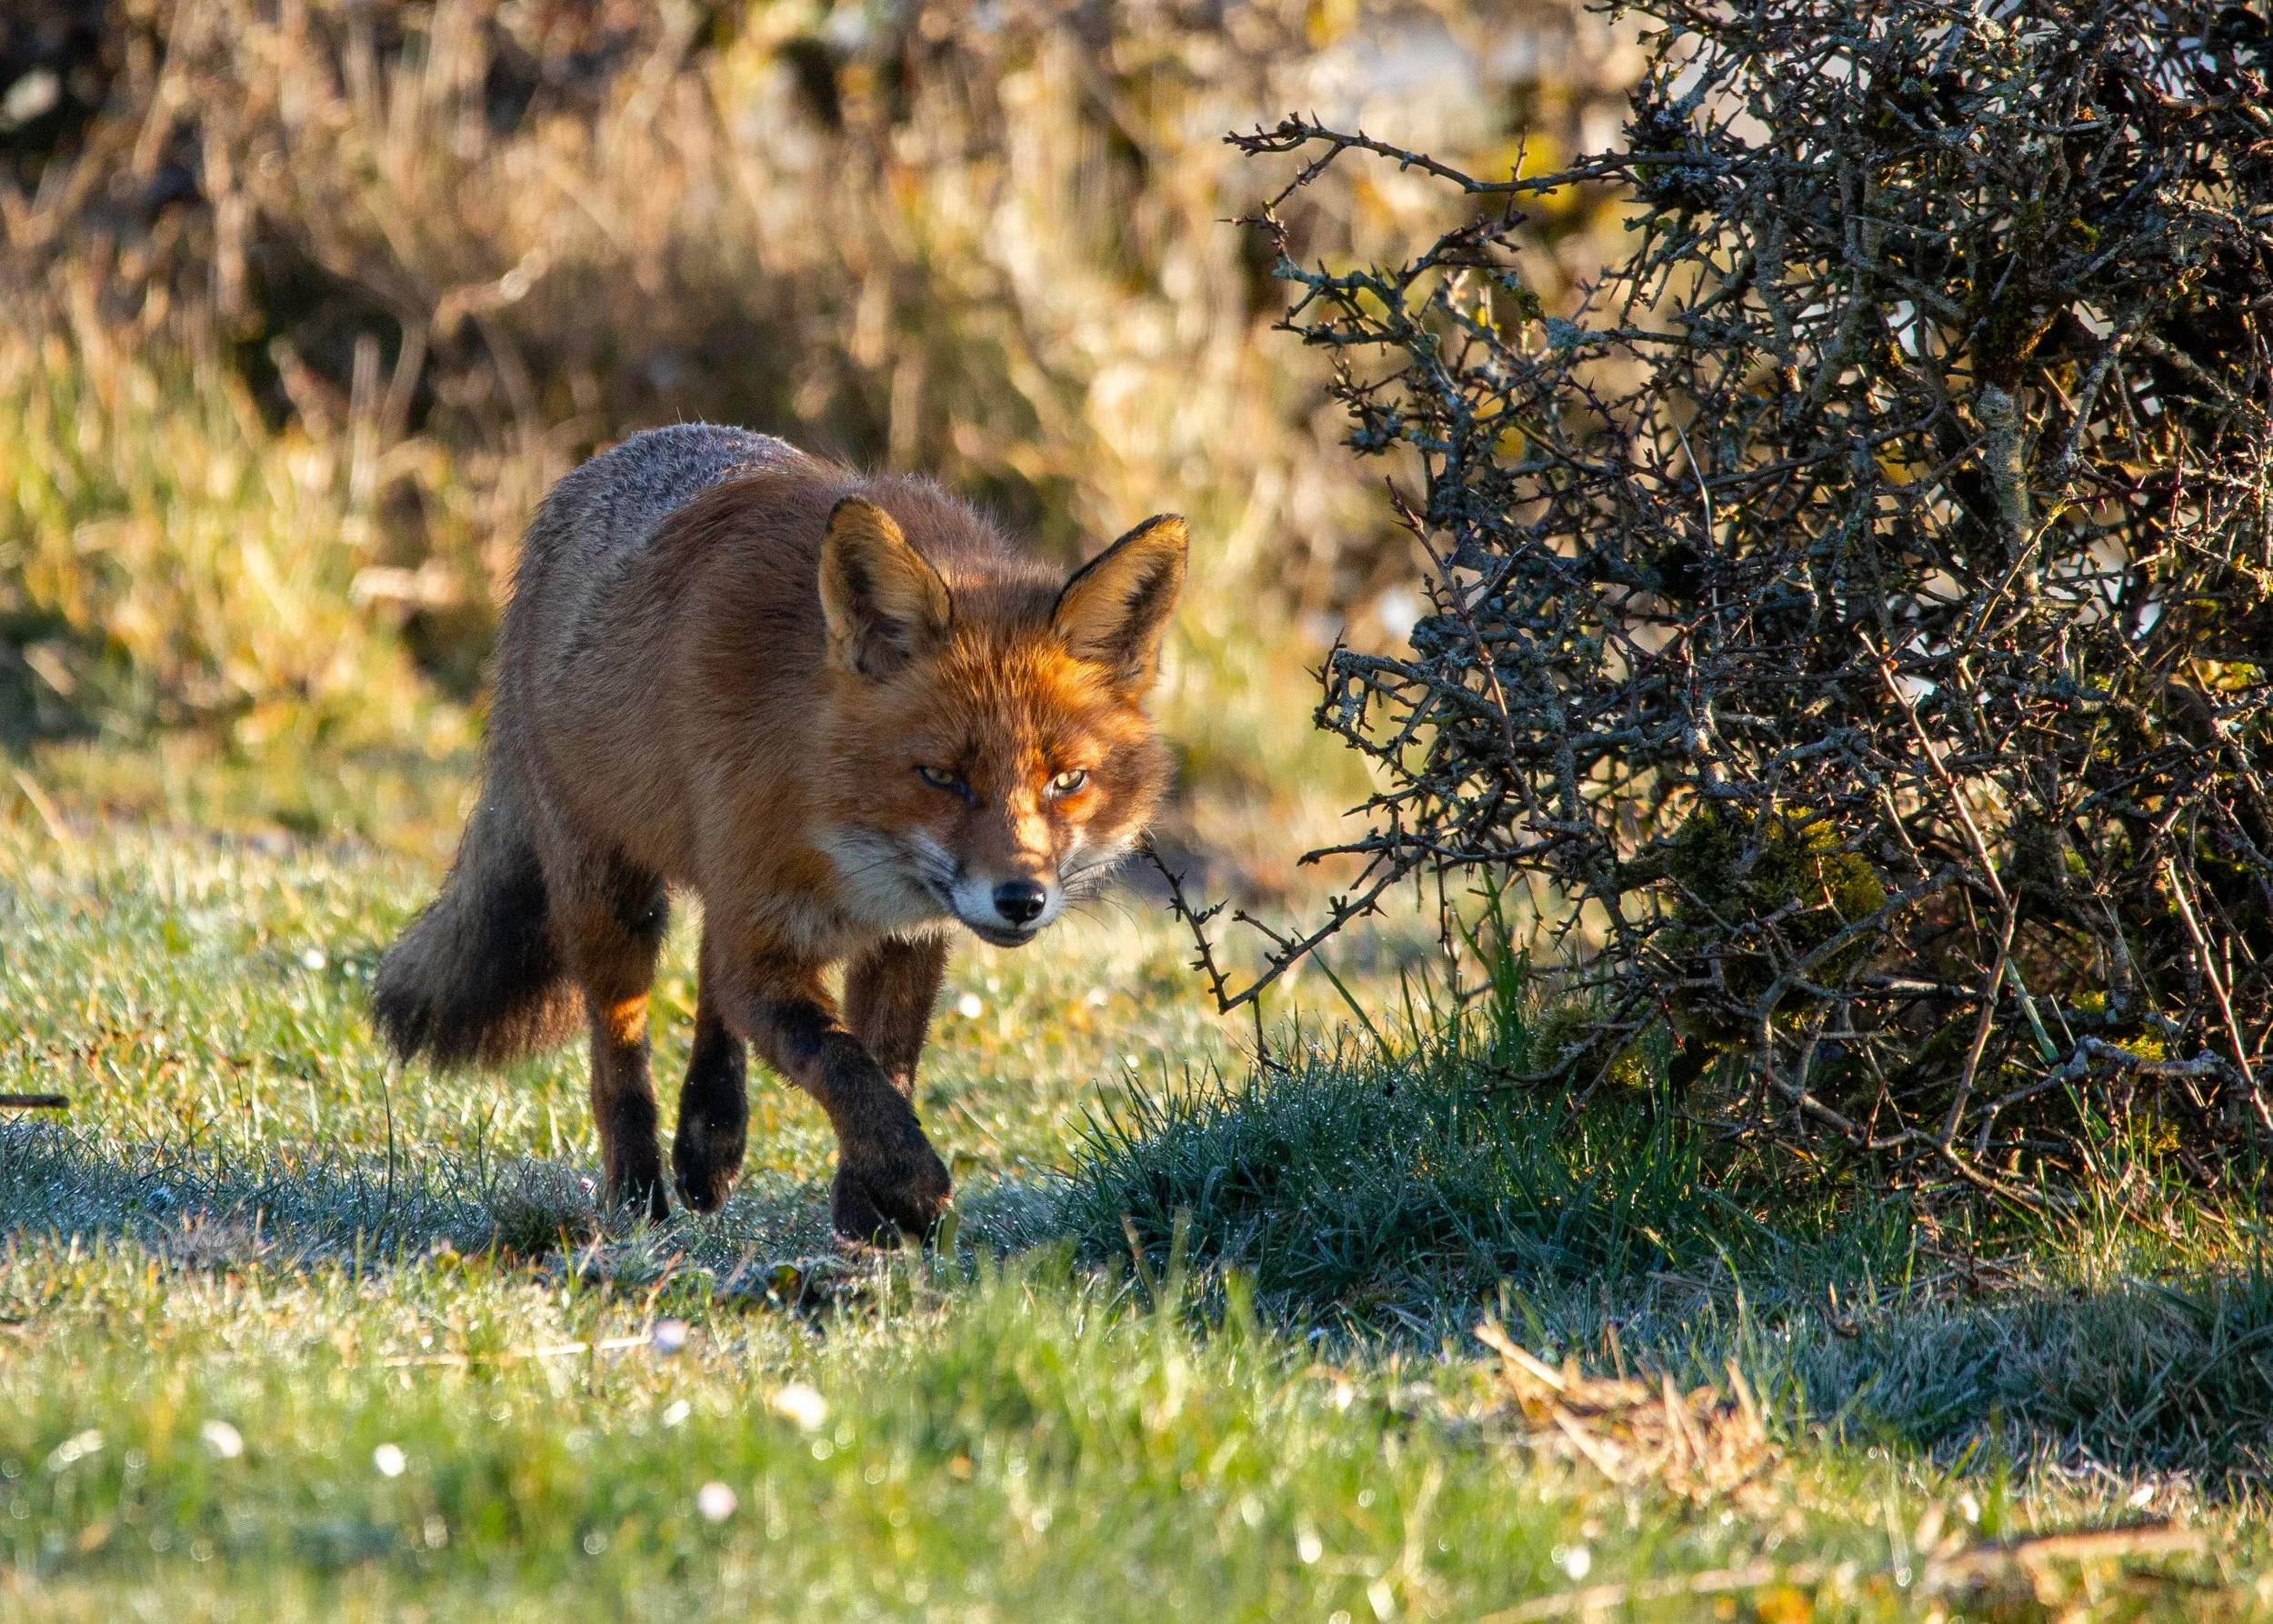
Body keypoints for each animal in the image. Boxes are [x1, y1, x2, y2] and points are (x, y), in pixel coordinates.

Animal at [371, 424, 1185, 1242]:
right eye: (941, 776)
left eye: (1067, 781)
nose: (1021, 899)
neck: (839, 838)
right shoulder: (762, 936)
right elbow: (842, 1066)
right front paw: (912, 1187)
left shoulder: (906, 938)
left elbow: (885, 1067)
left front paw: (865, 1221)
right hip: (613, 895)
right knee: (618, 1053)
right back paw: (639, 1198)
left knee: (708, 980)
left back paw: (710, 1137)